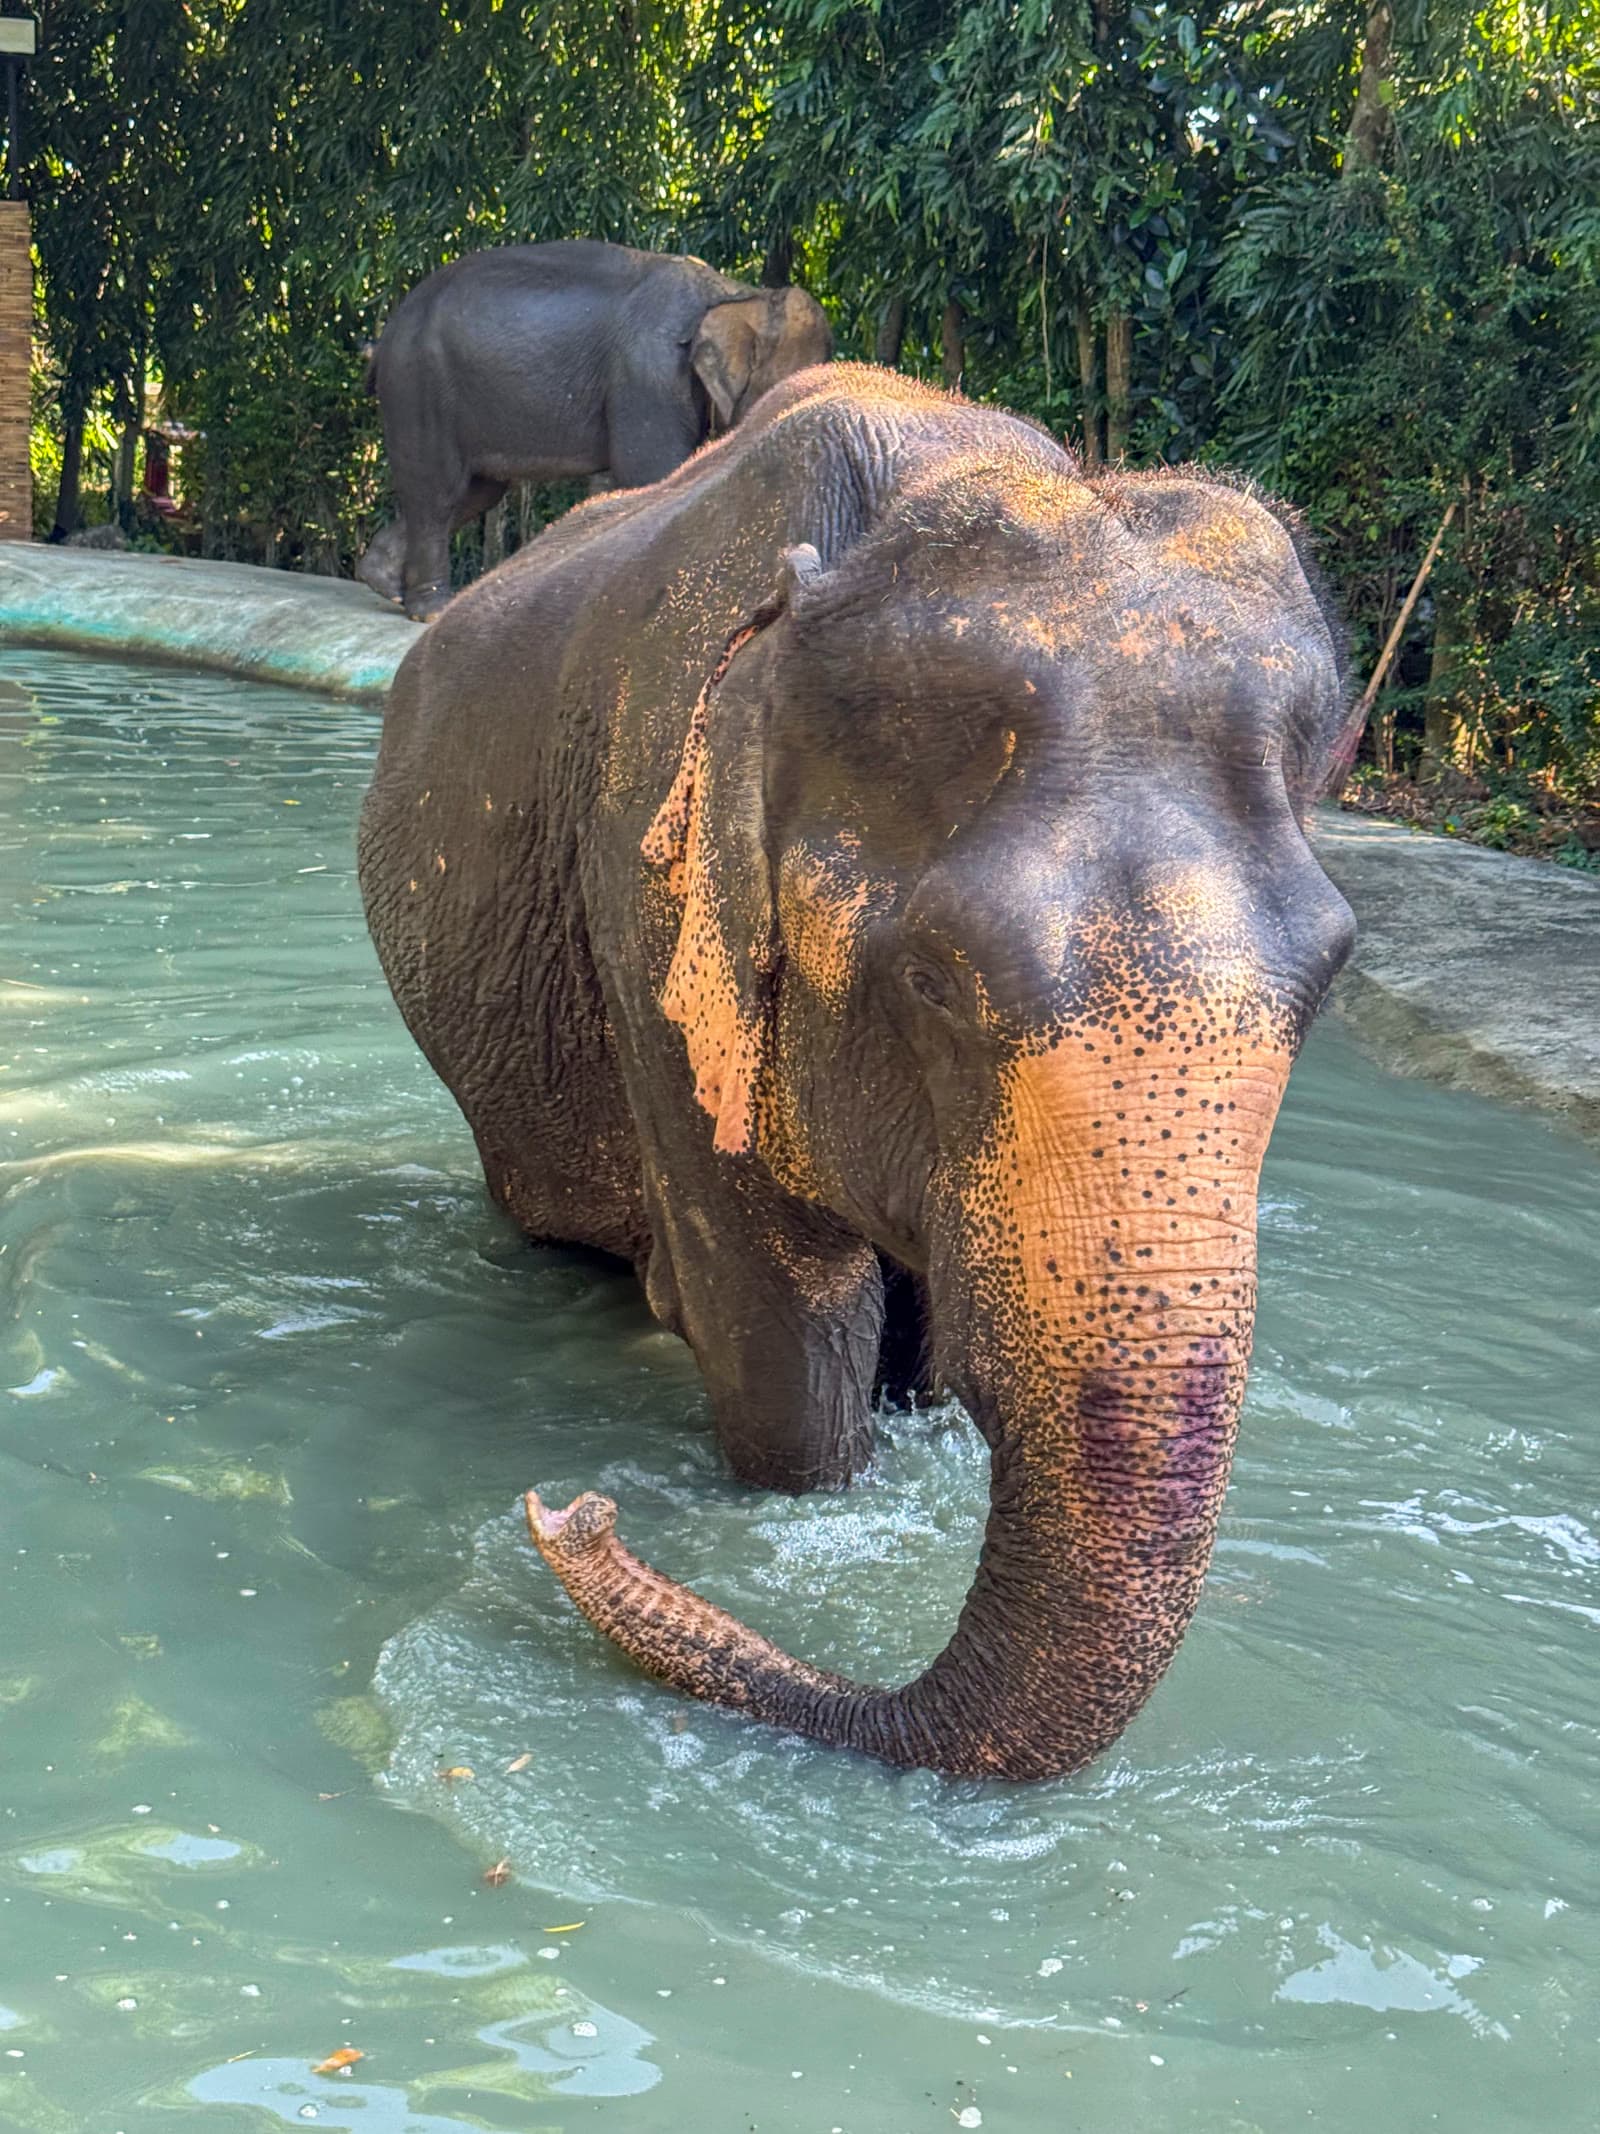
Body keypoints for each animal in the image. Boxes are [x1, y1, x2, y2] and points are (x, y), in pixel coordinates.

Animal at [356, 240, 834, 622]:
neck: (736, 293)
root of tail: (385, 336)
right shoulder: (647, 375)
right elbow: (653, 475)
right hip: (418, 386)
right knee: (439, 493)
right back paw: (432, 611)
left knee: (476, 492)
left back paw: (383, 582)